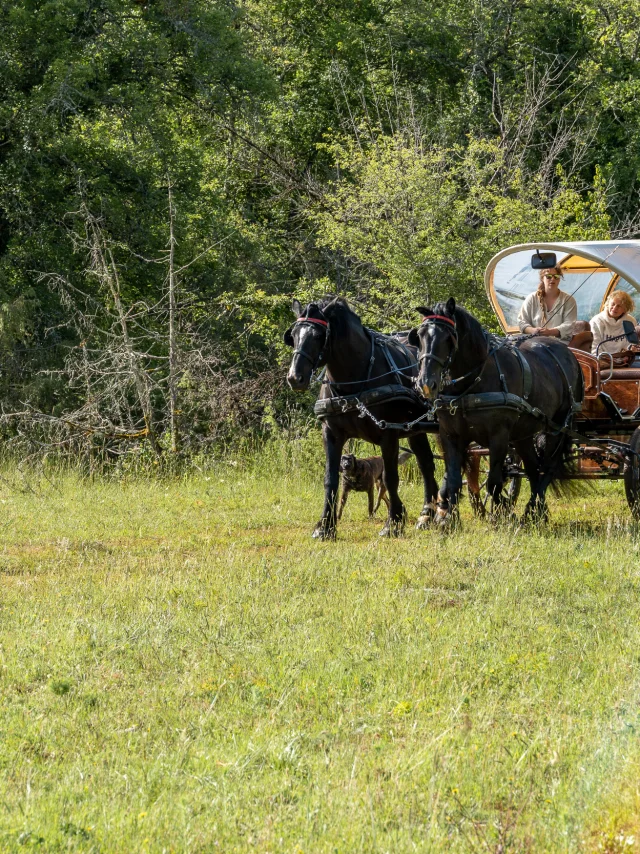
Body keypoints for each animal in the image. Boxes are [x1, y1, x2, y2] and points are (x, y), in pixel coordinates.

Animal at [284, 298, 440, 540]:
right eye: (293, 334)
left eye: (319, 336)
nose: (294, 378)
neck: (354, 382)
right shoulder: (331, 433)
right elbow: (330, 479)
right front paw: (325, 526)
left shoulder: (389, 434)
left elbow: (390, 478)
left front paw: (393, 522)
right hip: (416, 430)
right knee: (426, 464)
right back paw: (426, 514)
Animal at [410, 300, 584, 528]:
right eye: (420, 336)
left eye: (449, 338)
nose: (425, 383)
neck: (472, 383)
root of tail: (569, 354)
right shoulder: (451, 435)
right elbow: (454, 480)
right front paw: (448, 520)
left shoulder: (499, 436)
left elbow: (493, 482)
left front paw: (502, 513)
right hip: (523, 433)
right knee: (533, 467)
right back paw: (537, 512)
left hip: (558, 427)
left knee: (547, 467)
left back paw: (533, 509)